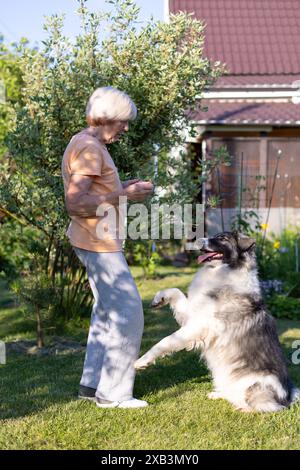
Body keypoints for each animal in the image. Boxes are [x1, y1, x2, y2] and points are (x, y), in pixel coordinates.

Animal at [135, 230, 298, 412]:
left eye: (222, 239)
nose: (196, 239)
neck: (222, 271)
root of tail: (287, 397)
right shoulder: (192, 315)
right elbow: (176, 291)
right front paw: (159, 299)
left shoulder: (199, 326)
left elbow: (166, 341)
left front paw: (142, 361)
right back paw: (219, 394)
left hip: (255, 385)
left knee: (263, 406)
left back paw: (243, 408)